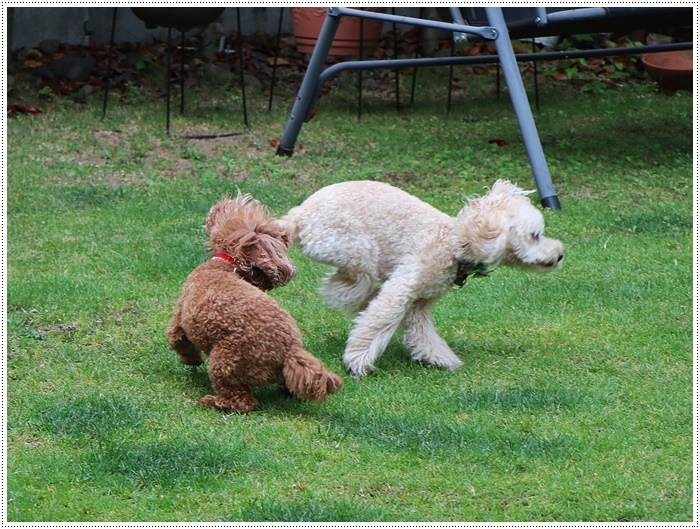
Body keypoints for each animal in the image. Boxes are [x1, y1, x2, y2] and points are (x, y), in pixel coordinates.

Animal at [167, 194, 342, 412]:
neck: (226, 265)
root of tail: (288, 352)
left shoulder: (179, 319)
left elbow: (178, 341)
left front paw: (192, 360)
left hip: (225, 362)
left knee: (242, 400)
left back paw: (212, 402)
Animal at [282, 180, 560, 376]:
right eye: (535, 235)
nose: (559, 254)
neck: (454, 243)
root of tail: (299, 214)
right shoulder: (403, 286)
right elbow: (379, 320)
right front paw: (357, 359)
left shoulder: (420, 303)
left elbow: (423, 333)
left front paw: (441, 358)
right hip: (354, 247)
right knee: (349, 285)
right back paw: (365, 299)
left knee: (342, 287)